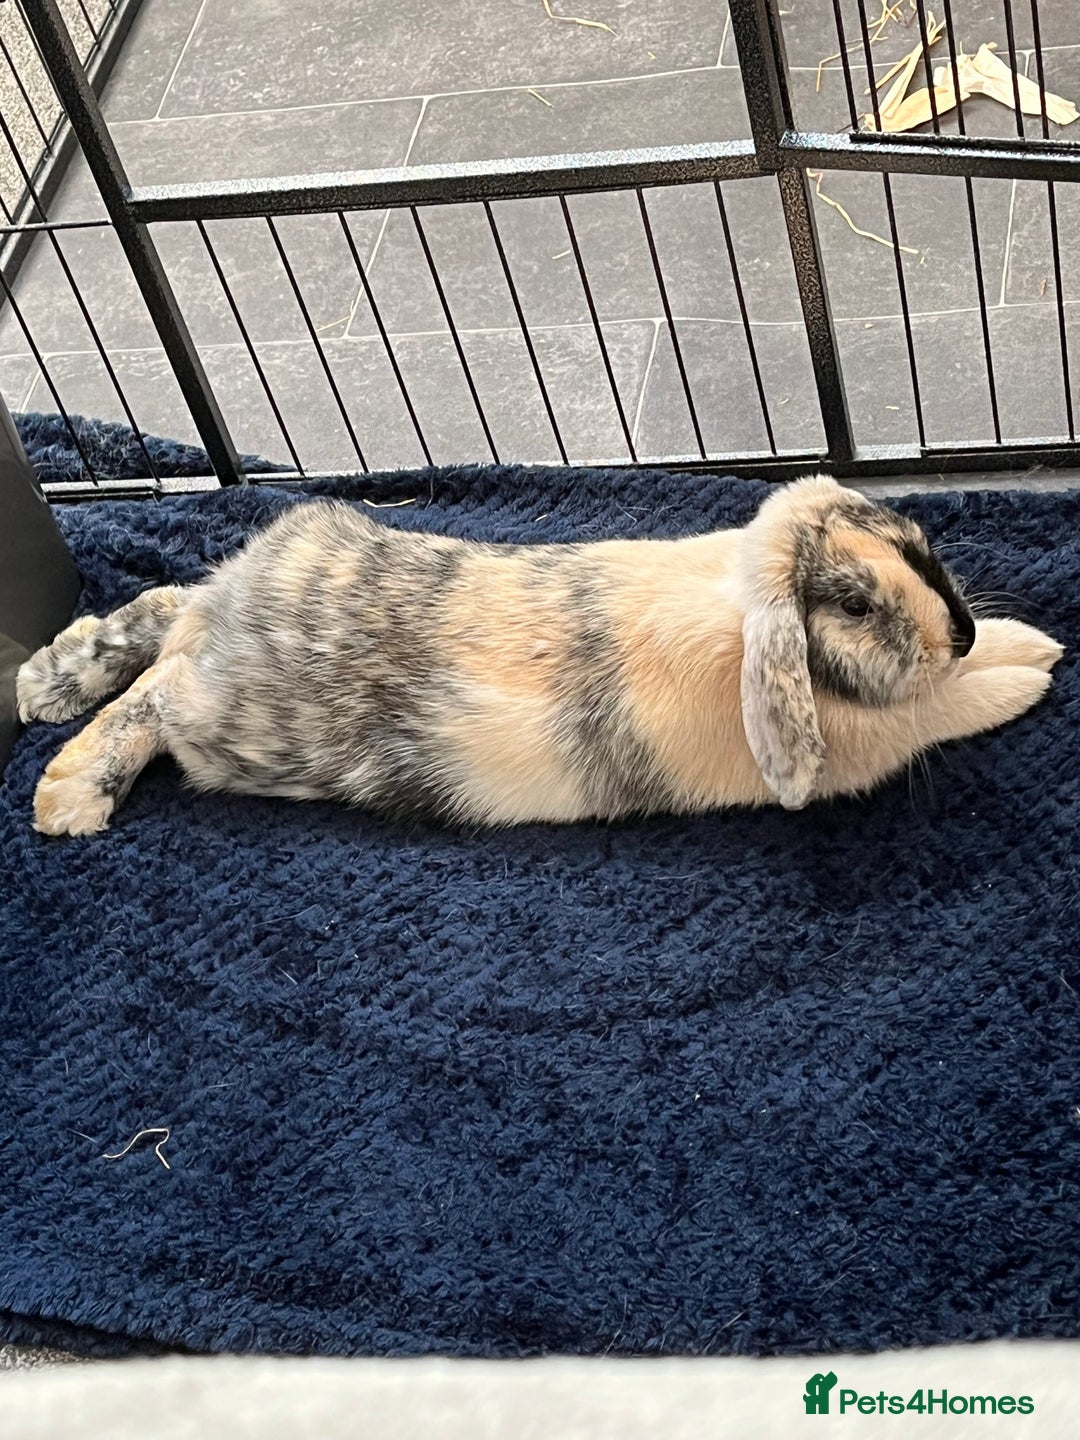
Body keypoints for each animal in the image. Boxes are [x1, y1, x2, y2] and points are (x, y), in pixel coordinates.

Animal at [16, 475, 1063, 837]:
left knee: (160, 615)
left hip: (216, 617)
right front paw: (1031, 668)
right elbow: (949, 706)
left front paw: (1030, 642)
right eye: (851, 604)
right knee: (154, 696)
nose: (961, 632)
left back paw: (44, 687)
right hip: (232, 728)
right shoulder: (887, 733)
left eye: (916, 543)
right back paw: (68, 799)